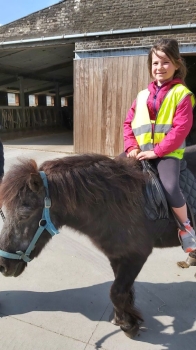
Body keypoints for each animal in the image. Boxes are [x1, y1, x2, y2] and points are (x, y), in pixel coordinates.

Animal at [0, 148, 195, 340]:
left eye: (24, 214)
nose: (3, 265)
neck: (117, 203)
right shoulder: (116, 255)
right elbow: (122, 290)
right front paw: (125, 317)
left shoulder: (136, 256)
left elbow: (116, 291)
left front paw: (128, 325)